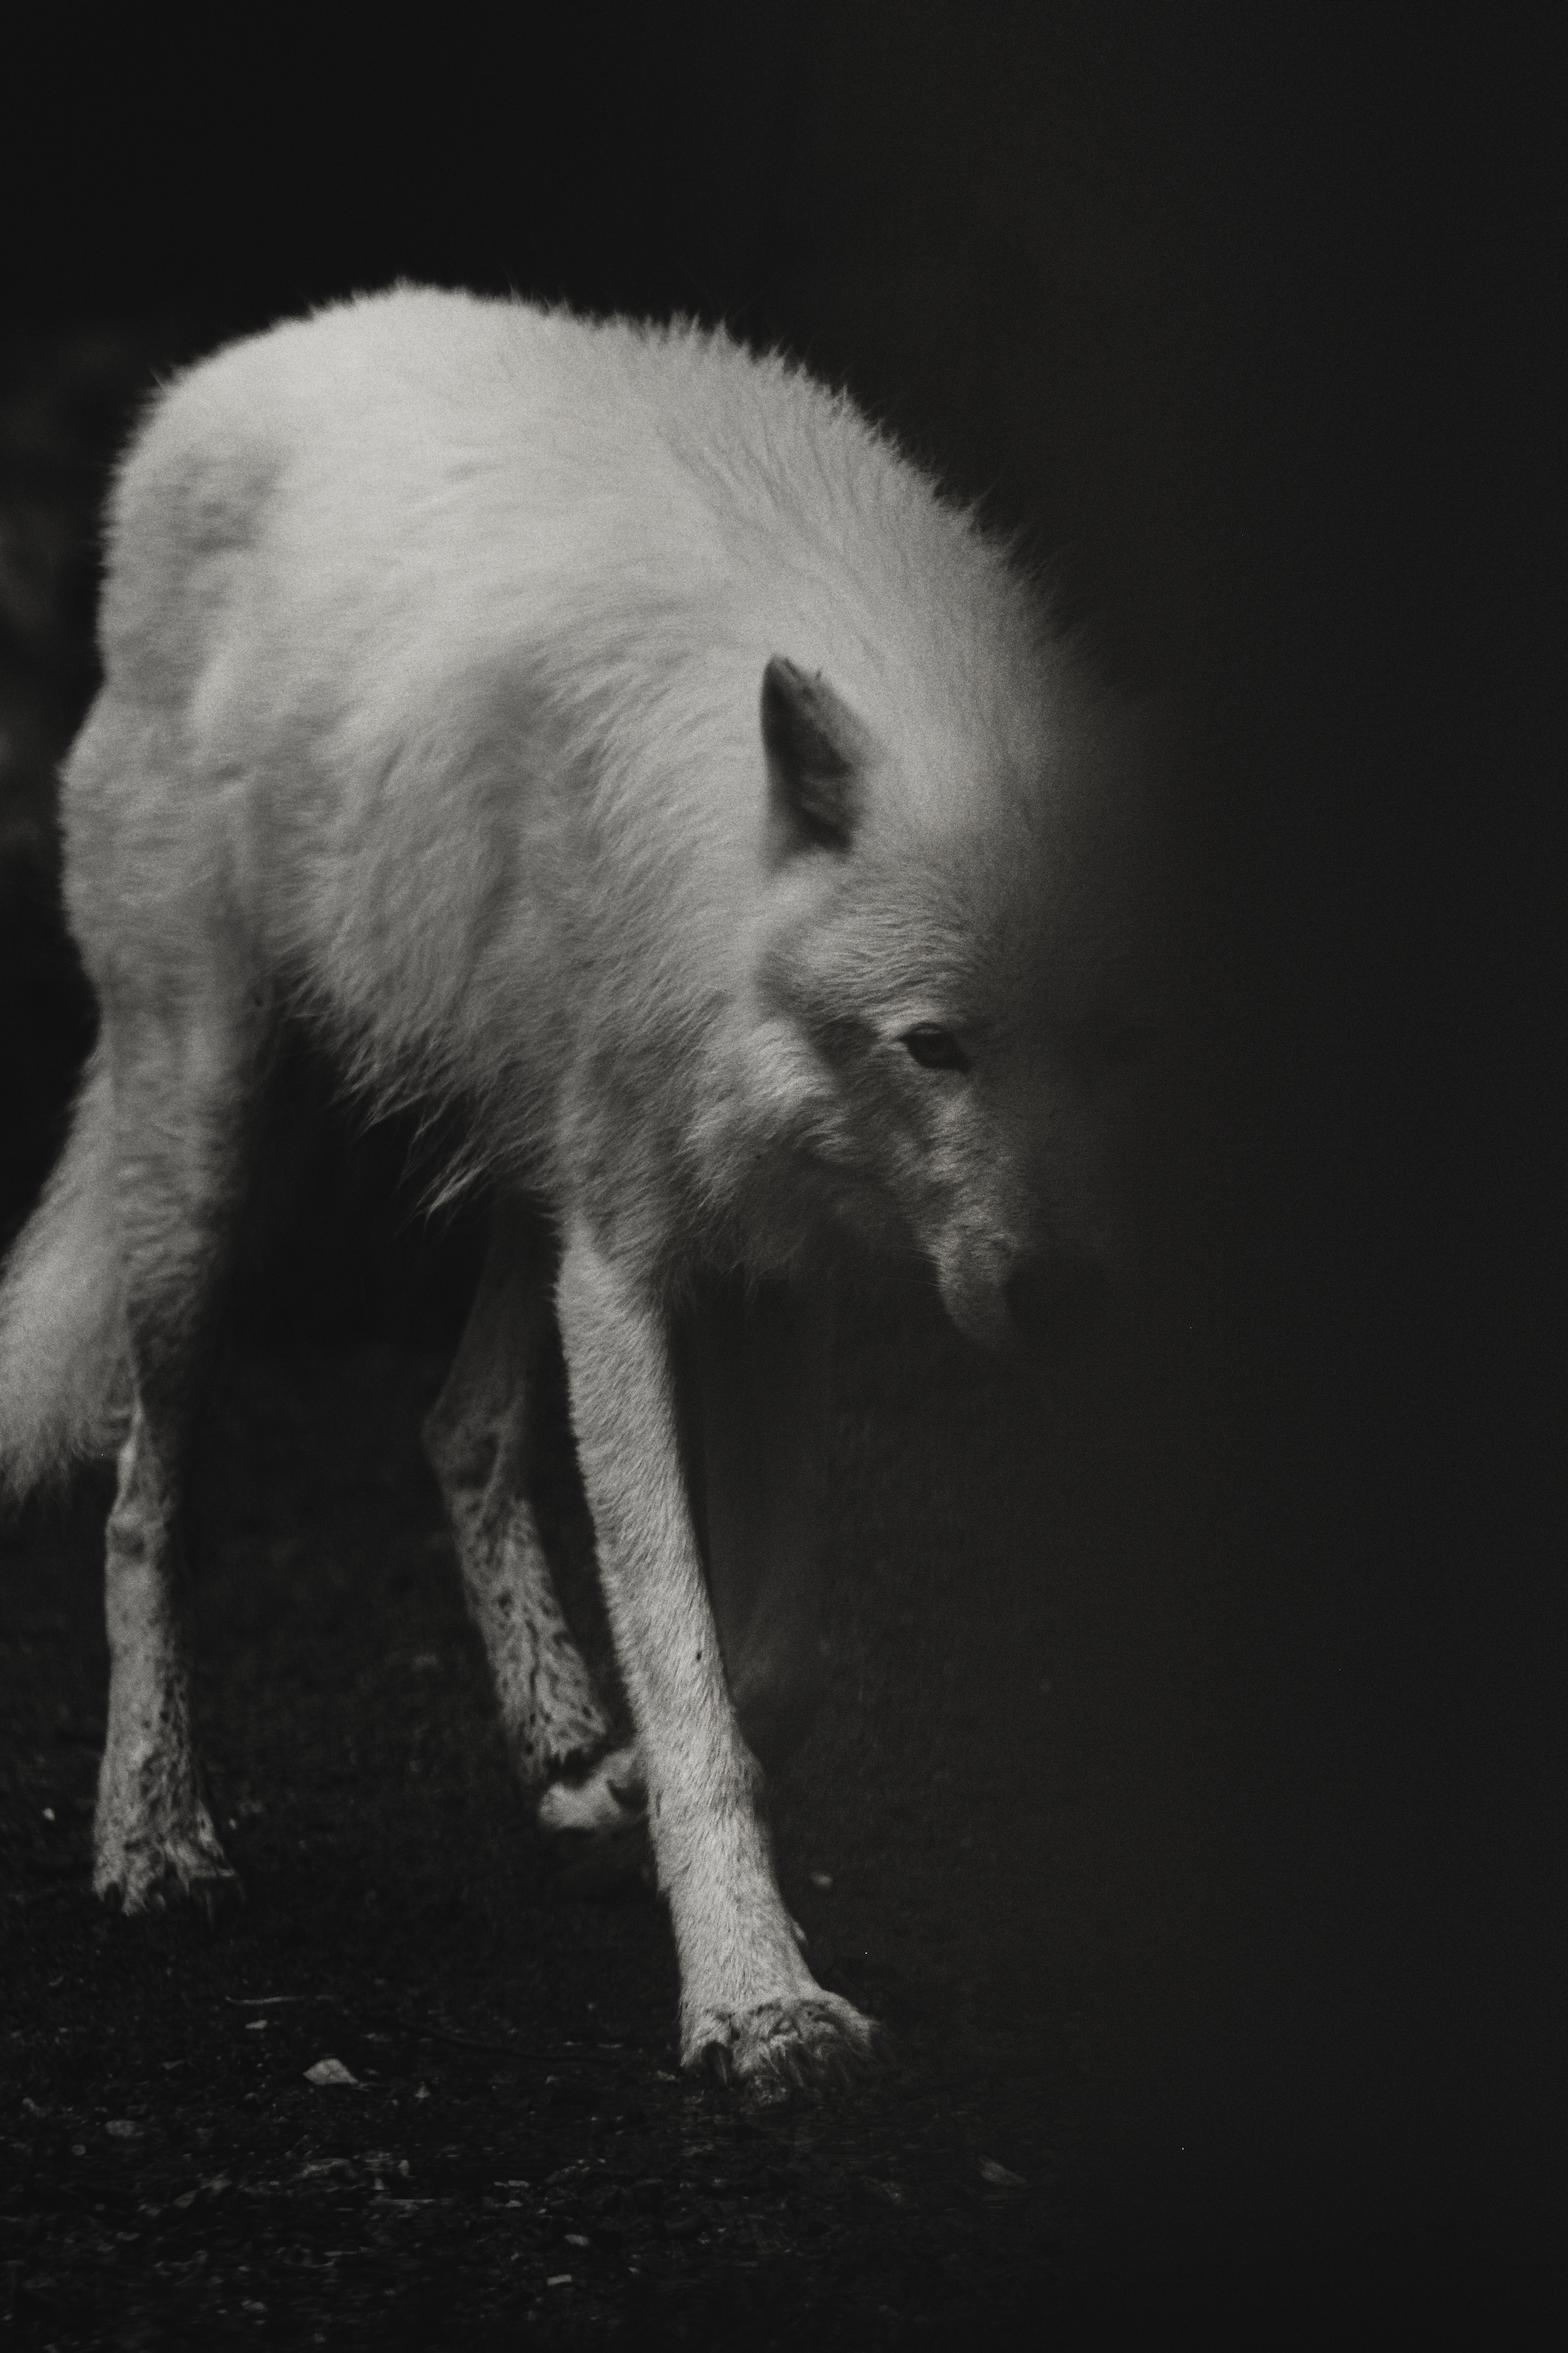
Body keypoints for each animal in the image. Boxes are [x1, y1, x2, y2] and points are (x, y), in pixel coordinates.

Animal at [0, 286, 1159, 2089]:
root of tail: (221, 374)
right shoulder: (627, 1261)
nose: (1065, 1302)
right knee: (145, 1495)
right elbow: (682, 1647)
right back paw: (155, 1837)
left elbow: (773, 1655)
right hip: (212, 1148)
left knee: (456, 1423)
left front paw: (624, 1793)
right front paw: (754, 2000)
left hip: (514, 1161)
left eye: (1112, 1043)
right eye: (935, 1045)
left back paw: (552, 1732)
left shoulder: (770, 1261)